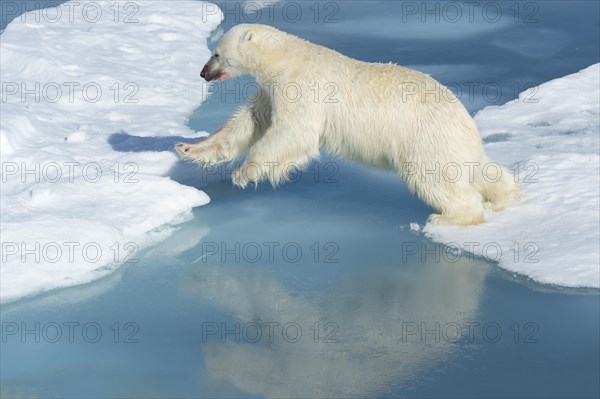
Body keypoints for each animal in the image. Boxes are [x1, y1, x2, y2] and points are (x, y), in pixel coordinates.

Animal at [176, 25, 516, 225]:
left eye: (216, 53)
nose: (203, 73)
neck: (287, 59)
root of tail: (466, 121)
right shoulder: (270, 90)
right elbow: (250, 121)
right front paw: (189, 148)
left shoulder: (300, 86)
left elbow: (294, 132)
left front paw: (243, 172)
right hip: (452, 143)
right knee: (483, 171)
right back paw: (505, 195)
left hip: (425, 138)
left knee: (435, 178)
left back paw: (447, 218)